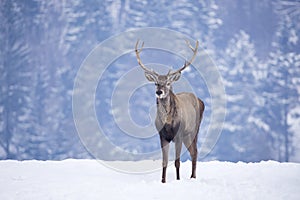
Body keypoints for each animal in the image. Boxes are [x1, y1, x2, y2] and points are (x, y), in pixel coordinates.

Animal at [135, 39, 204, 183]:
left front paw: (178, 180)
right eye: (156, 83)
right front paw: (163, 181)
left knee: (195, 151)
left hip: (193, 130)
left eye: (167, 83)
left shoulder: (179, 134)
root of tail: (201, 101)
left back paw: (193, 177)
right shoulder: (162, 136)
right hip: (187, 135)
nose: (159, 92)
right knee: (193, 151)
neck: (167, 122)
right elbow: (164, 162)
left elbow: (177, 162)